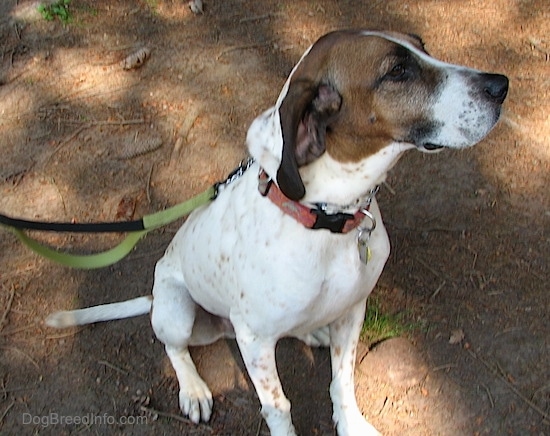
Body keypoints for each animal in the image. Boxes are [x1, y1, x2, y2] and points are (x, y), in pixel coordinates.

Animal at [46, 30, 508, 436]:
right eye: (397, 71)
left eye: (422, 47)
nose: (501, 84)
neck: (329, 219)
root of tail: (154, 297)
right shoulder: (254, 342)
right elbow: (278, 406)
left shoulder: (353, 310)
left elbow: (342, 380)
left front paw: (351, 423)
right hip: (177, 312)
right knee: (174, 348)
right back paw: (193, 389)